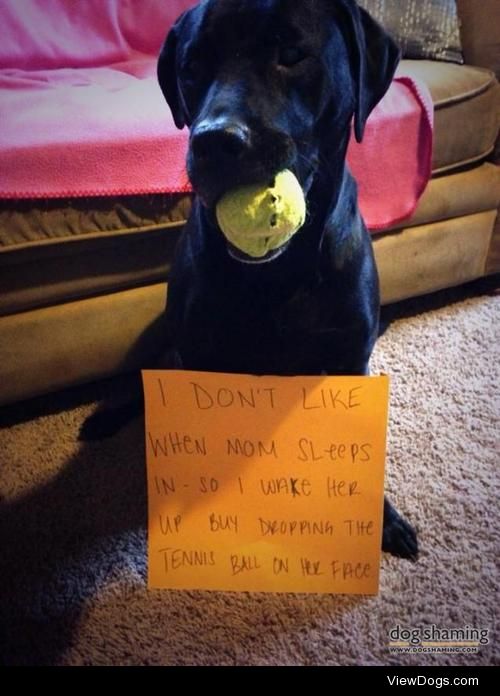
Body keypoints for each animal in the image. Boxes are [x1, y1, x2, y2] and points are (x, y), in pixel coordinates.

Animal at [83, 0, 418, 556]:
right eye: (192, 67)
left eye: (292, 54)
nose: (215, 141)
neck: (281, 272)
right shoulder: (202, 356)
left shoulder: (349, 358)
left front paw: (379, 518)